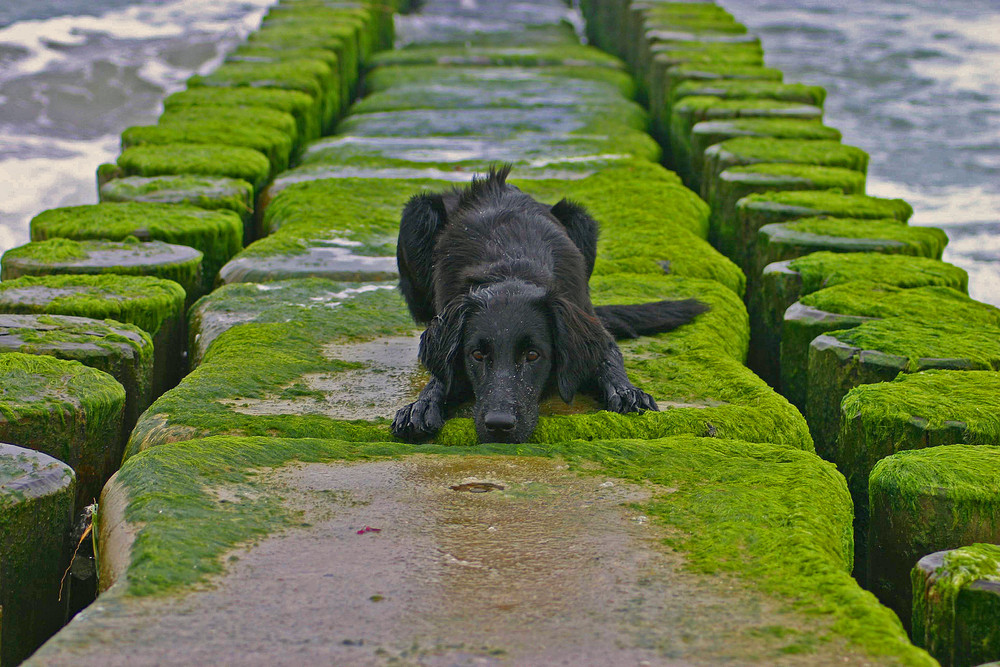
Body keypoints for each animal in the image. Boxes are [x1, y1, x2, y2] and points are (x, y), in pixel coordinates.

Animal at [390, 166, 712, 444]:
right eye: (477, 355)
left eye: (533, 355)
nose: (499, 426)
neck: (511, 269)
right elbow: (441, 375)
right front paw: (422, 404)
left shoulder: (587, 315)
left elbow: (609, 357)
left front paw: (627, 391)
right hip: (417, 212)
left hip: (581, 217)